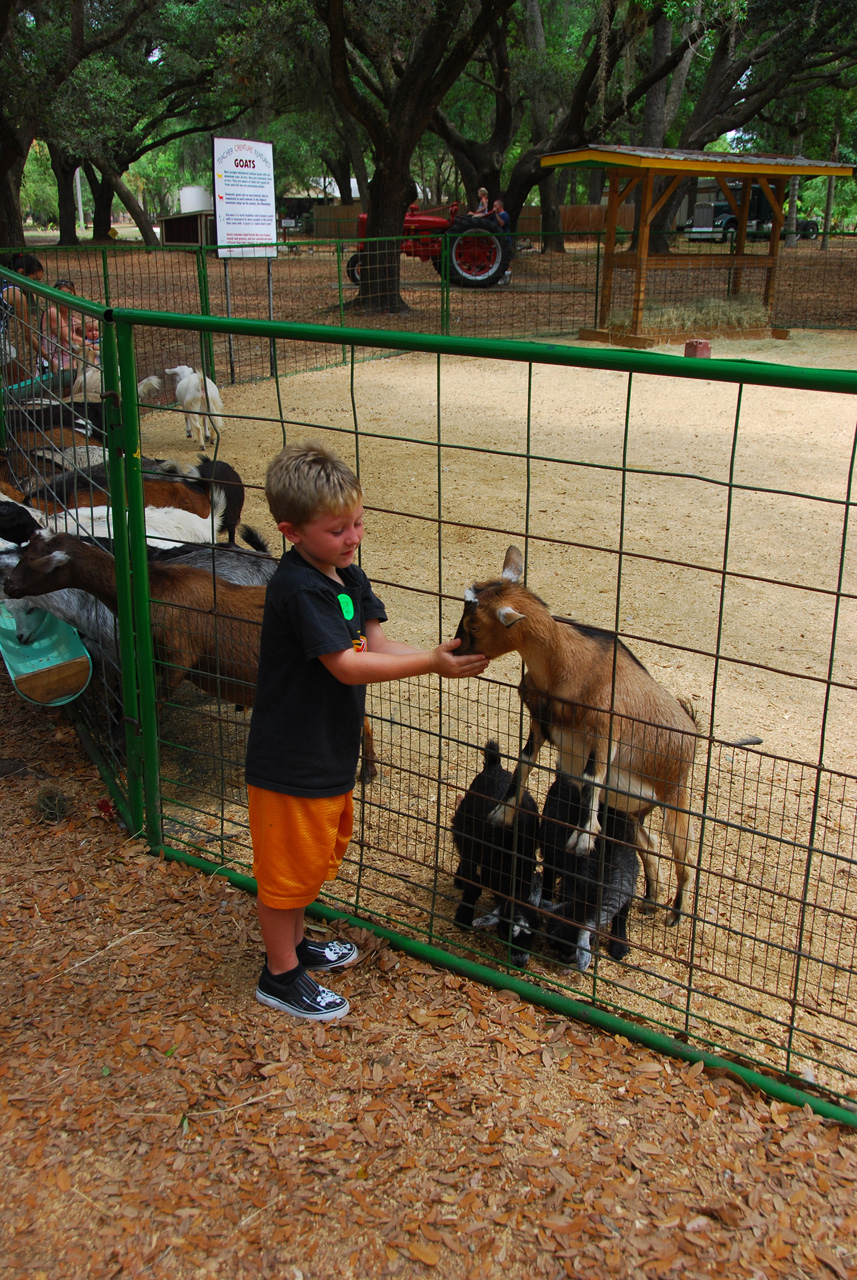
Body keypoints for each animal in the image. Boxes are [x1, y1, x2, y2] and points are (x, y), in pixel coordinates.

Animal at [452, 545, 700, 926]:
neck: (563, 665)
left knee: (685, 858)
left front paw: (582, 840)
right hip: (630, 810)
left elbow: (590, 778)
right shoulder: (539, 725)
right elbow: (523, 765)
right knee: (651, 843)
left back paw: (675, 913)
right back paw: (651, 899)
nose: (453, 651)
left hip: (675, 794)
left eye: (475, 625)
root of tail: (692, 733)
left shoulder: (605, 735)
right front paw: (501, 814)